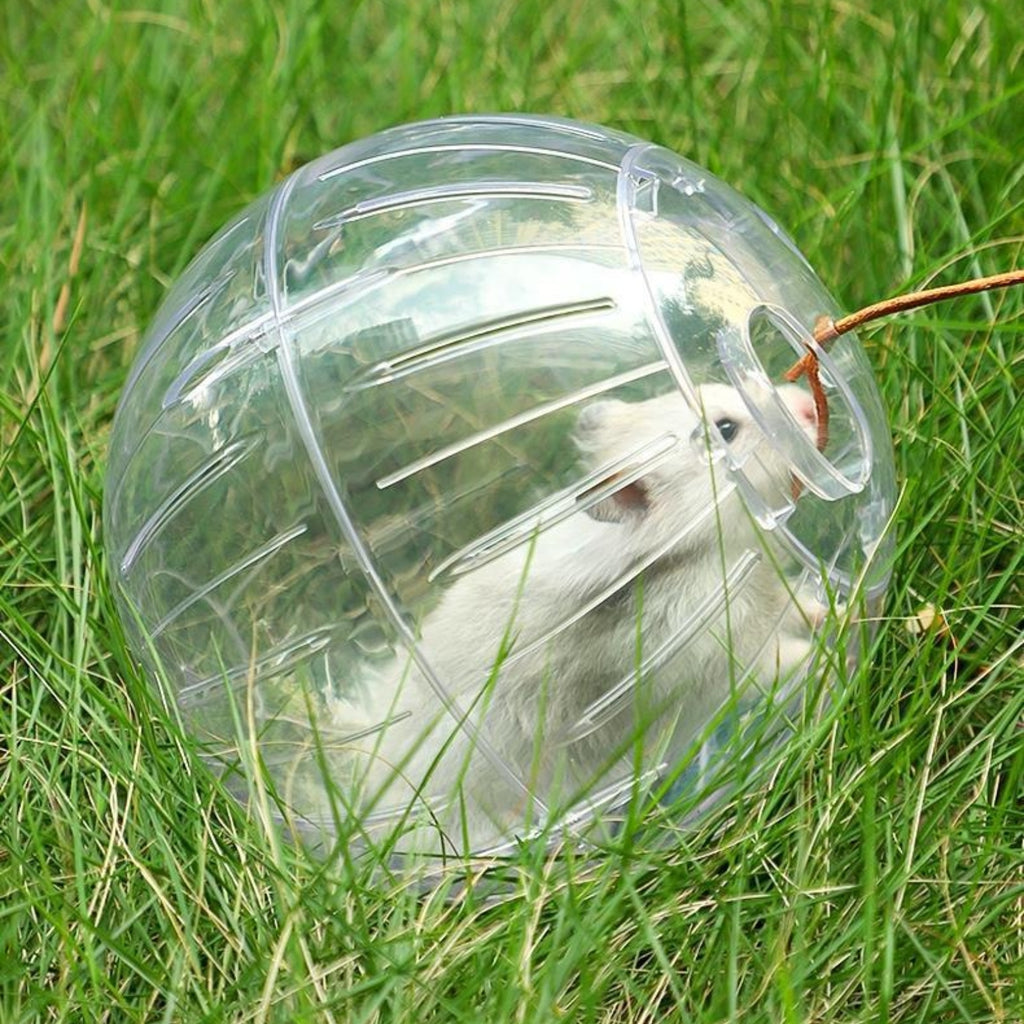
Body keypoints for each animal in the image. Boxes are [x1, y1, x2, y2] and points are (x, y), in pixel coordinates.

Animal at [333, 382, 821, 855]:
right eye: (725, 430)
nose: (809, 405)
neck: (693, 548)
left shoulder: (768, 592)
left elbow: (796, 602)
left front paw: (828, 605)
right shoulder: (722, 654)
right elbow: (781, 658)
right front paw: (826, 646)